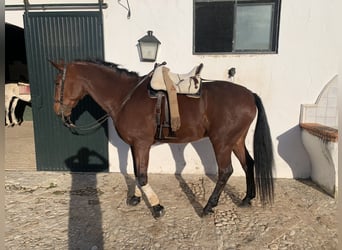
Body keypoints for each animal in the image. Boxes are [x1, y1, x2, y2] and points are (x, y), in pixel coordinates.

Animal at [50, 59, 274, 218]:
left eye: (57, 82)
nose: (57, 111)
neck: (125, 97)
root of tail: (249, 94)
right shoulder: (136, 145)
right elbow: (137, 172)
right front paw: (136, 198)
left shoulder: (141, 144)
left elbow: (142, 175)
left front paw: (157, 207)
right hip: (236, 140)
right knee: (248, 164)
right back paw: (247, 198)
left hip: (222, 142)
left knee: (225, 172)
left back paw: (208, 207)